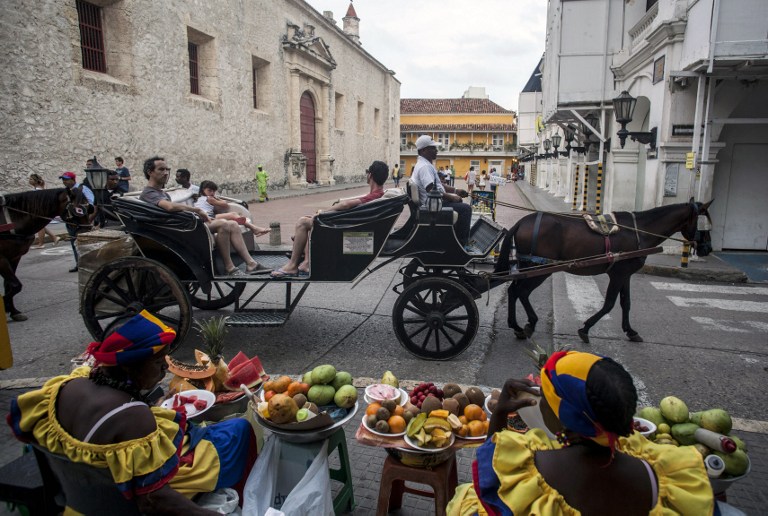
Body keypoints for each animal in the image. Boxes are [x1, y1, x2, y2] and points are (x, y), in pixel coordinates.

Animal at [1, 187, 92, 320]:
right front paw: (8, 307)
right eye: (78, 210)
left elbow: (11, 285)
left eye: (88, 206)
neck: (13, 219)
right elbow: (14, 285)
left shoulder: (14, 257)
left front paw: (12, 310)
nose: (87, 231)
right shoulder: (3, 258)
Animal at [492, 198, 712, 342]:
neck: (639, 231)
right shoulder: (618, 274)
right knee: (521, 291)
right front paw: (586, 328)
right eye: (705, 224)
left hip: (527, 265)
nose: (707, 249)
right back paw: (528, 323)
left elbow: (626, 303)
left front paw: (630, 331)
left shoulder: (625, 274)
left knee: (513, 290)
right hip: (542, 268)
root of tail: (522, 221)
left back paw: (517, 324)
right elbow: (609, 304)